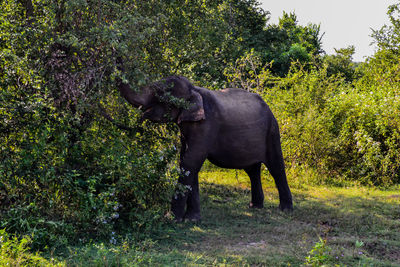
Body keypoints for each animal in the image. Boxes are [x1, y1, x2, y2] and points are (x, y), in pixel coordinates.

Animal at [117, 75, 292, 222]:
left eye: (162, 96)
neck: (194, 89)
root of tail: (268, 107)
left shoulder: (207, 125)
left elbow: (190, 162)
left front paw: (171, 219)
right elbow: (187, 162)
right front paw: (191, 220)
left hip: (272, 130)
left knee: (276, 166)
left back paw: (285, 209)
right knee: (252, 170)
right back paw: (255, 207)